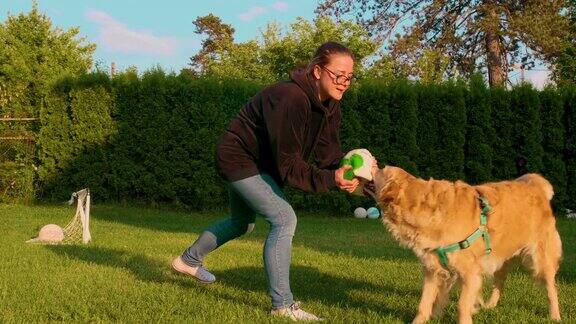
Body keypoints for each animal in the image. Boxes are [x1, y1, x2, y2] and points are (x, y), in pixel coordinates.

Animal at [368, 166, 564, 322]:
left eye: (381, 169)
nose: (374, 163)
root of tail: (535, 186)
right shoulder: (432, 270)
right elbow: (425, 304)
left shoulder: (470, 273)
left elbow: (462, 305)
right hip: (500, 256)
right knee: (500, 280)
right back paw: (491, 304)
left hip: (541, 258)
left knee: (551, 288)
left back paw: (555, 316)